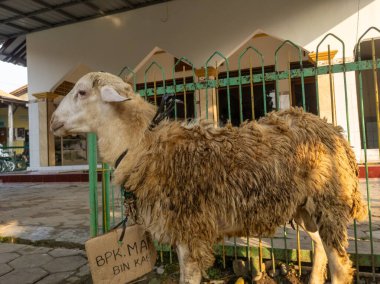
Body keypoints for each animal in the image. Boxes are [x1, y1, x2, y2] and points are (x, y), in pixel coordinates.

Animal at [51, 71, 368, 284]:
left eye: (81, 92)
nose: (53, 121)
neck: (144, 143)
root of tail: (333, 130)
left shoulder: (190, 228)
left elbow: (189, 277)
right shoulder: (181, 230)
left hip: (329, 201)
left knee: (340, 266)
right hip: (305, 208)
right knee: (321, 249)